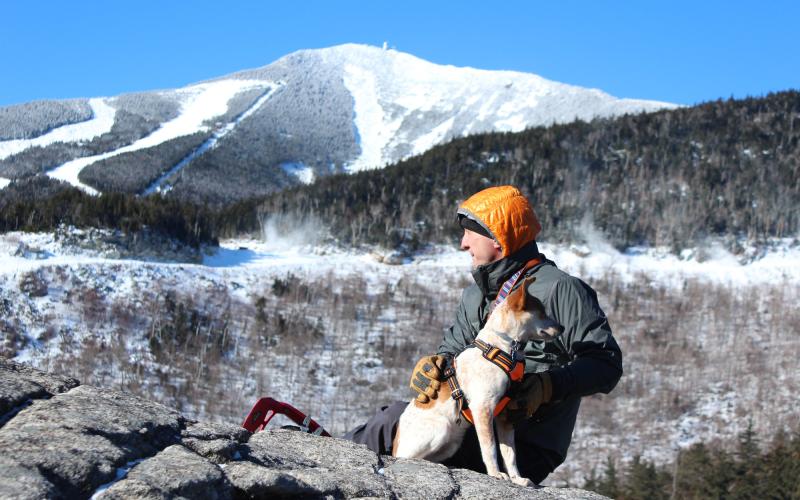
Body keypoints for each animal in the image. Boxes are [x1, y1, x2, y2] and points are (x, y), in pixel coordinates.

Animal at [392, 278, 564, 484]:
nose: (562, 328)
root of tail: (396, 443)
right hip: (441, 429)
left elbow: (509, 454)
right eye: (542, 312)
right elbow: (490, 449)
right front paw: (496, 473)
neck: (502, 348)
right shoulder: (483, 408)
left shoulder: (506, 416)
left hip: (452, 443)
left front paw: (517, 479)